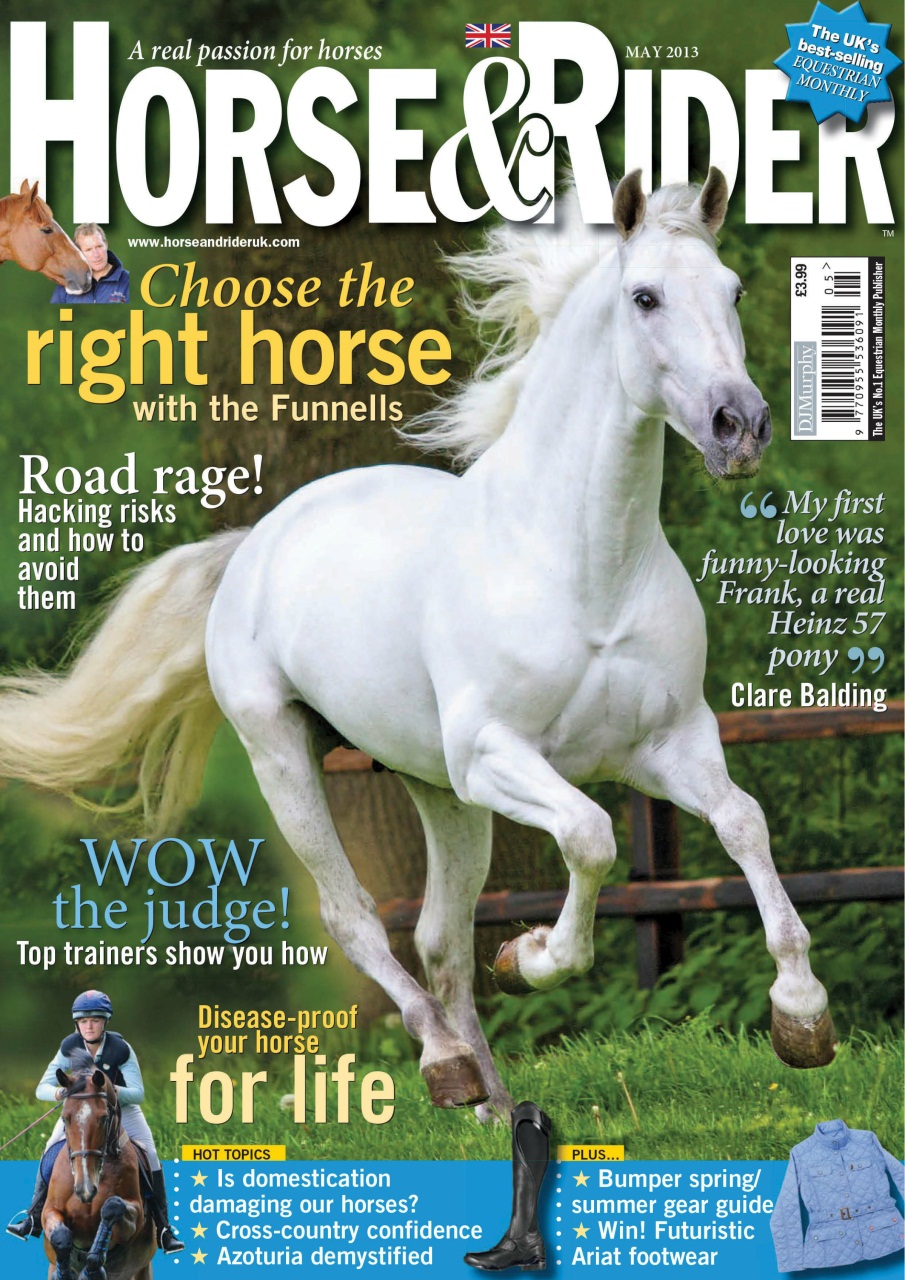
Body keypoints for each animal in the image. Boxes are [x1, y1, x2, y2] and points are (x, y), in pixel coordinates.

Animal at [0, 169, 836, 1121]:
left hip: (436, 789)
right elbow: (590, 838)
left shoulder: (668, 744)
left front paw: (801, 1018)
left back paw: (491, 1102)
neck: (582, 567)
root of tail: (254, 543)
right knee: (356, 916)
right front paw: (532, 959)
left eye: (732, 292)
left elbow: (742, 823)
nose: (741, 426)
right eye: (645, 297)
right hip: (288, 756)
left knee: (438, 934)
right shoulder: (495, 756)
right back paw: (444, 1062)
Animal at [42, 1052, 155, 1280]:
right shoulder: (50, 1210)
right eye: (65, 1118)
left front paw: (92, 1267)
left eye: (103, 1118)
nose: (84, 1189)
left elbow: (113, 1206)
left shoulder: (136, 1216)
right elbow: (61, 1235)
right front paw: (65, 1272)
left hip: (142, 1269)